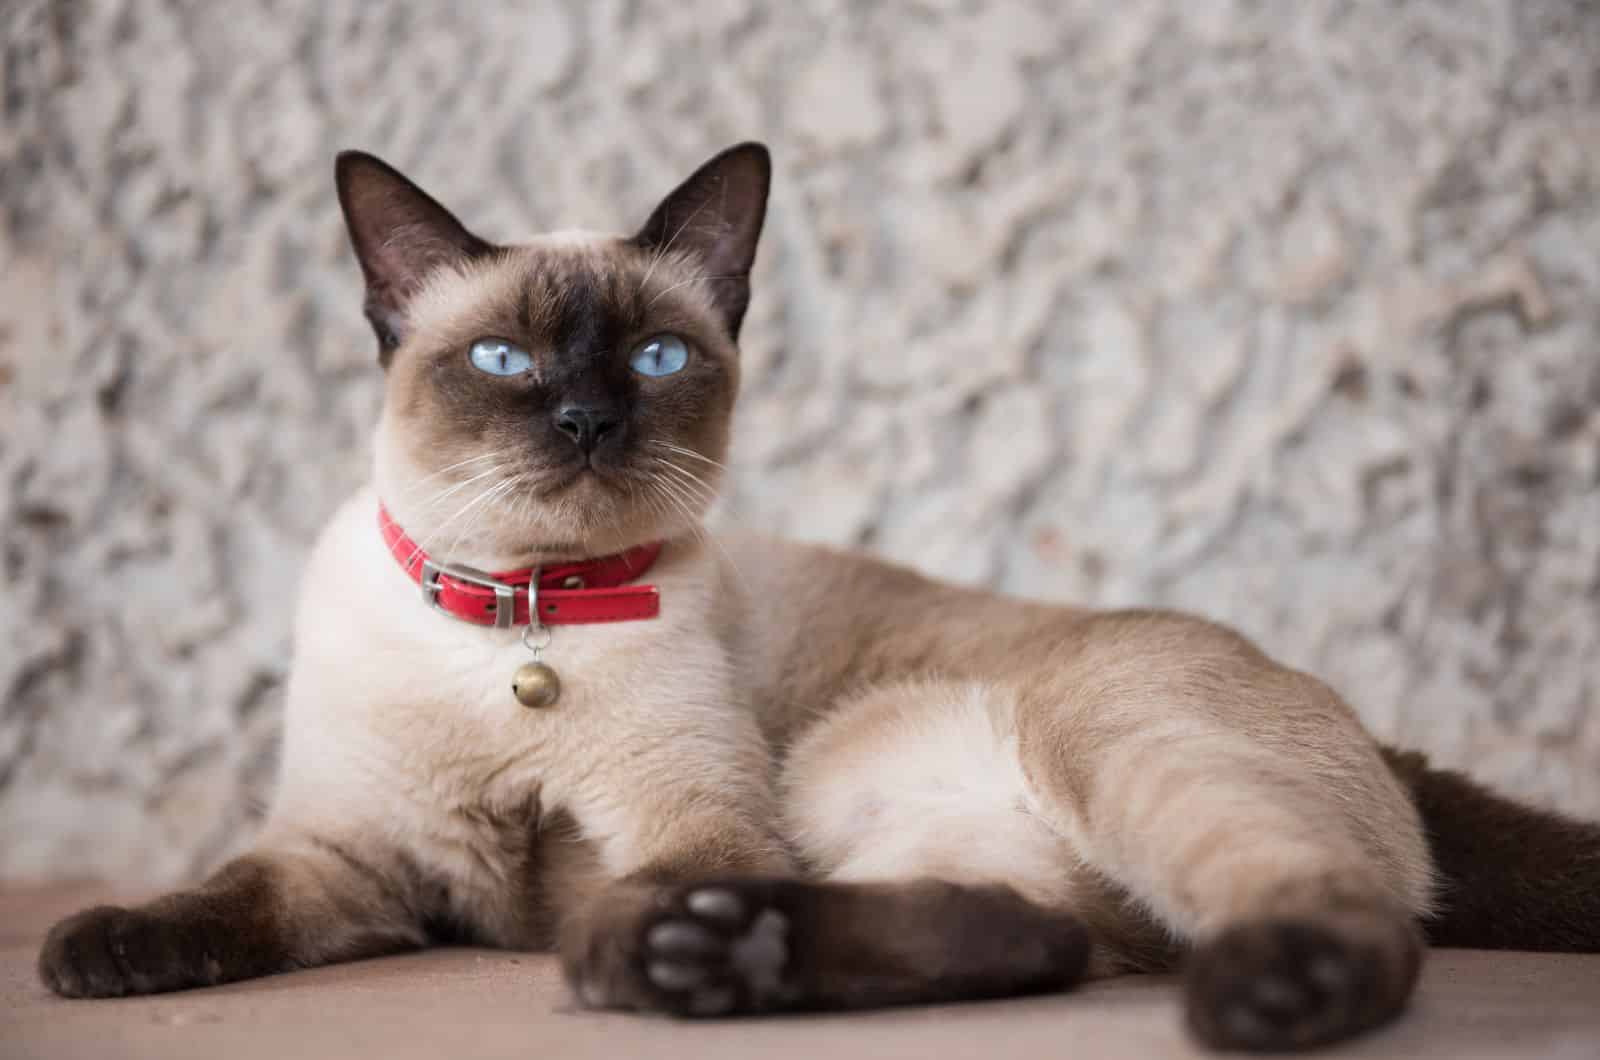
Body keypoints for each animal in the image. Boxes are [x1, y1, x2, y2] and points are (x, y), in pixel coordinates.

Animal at [37, 140, 1600, 1056]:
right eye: (503, 362)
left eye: (657, 359)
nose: (587, 421)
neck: (524, 618)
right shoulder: (351, 859)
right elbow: (220, 895)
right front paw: (95, 956)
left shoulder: (694, 827)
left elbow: (642, 874)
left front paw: (632, 937)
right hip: (896, 812)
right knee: (1035, 939)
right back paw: (726, 961)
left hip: (1098, 750)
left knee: (1335, 916)